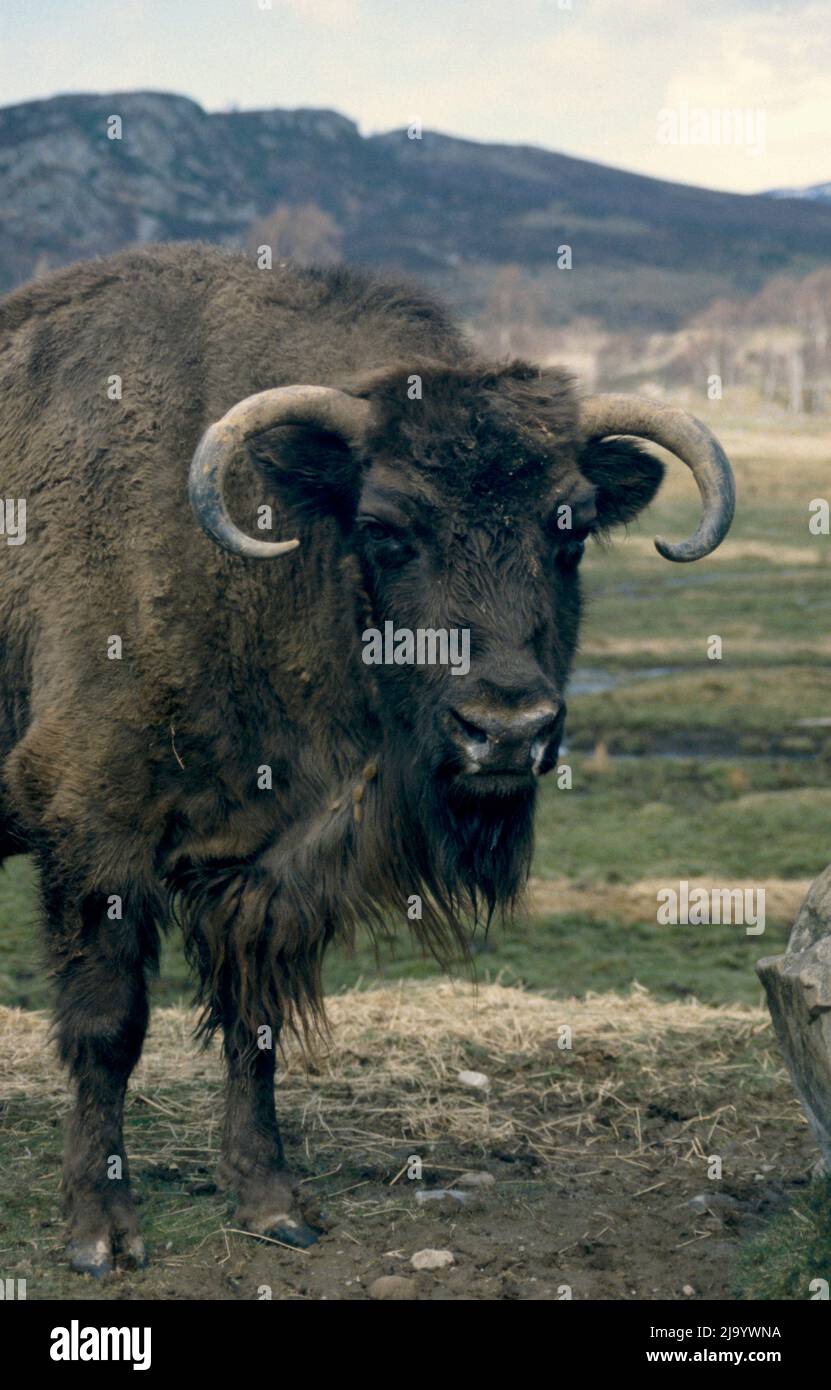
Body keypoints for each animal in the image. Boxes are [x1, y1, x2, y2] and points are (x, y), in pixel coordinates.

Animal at [0, 247, 733, 1273]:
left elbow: (255, 1027)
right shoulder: (90, 834)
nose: (505, 730)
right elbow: (109, 1028)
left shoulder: (261, 872)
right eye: (386, 526)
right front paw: (102, 1236)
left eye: (571, 528)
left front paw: (273, 1206)